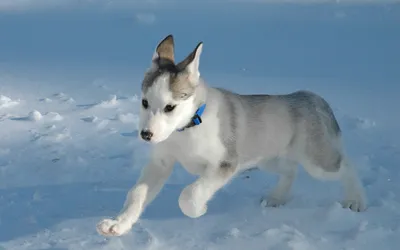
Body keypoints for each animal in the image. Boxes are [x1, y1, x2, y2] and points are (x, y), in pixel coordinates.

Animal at [96, 34, 366, 236]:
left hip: (317, 161)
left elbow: (190, 194)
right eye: (144, 102)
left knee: (346, 165)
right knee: (291, 170)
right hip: (268, 157)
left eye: (170, 107)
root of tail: (312, 97)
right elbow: (136, 194)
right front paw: (118, 224)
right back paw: (276, 198)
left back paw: (355, 201)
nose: (146, 134)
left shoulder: (226, 164)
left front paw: (200, 210)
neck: (188, 128)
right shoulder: (161, 162)